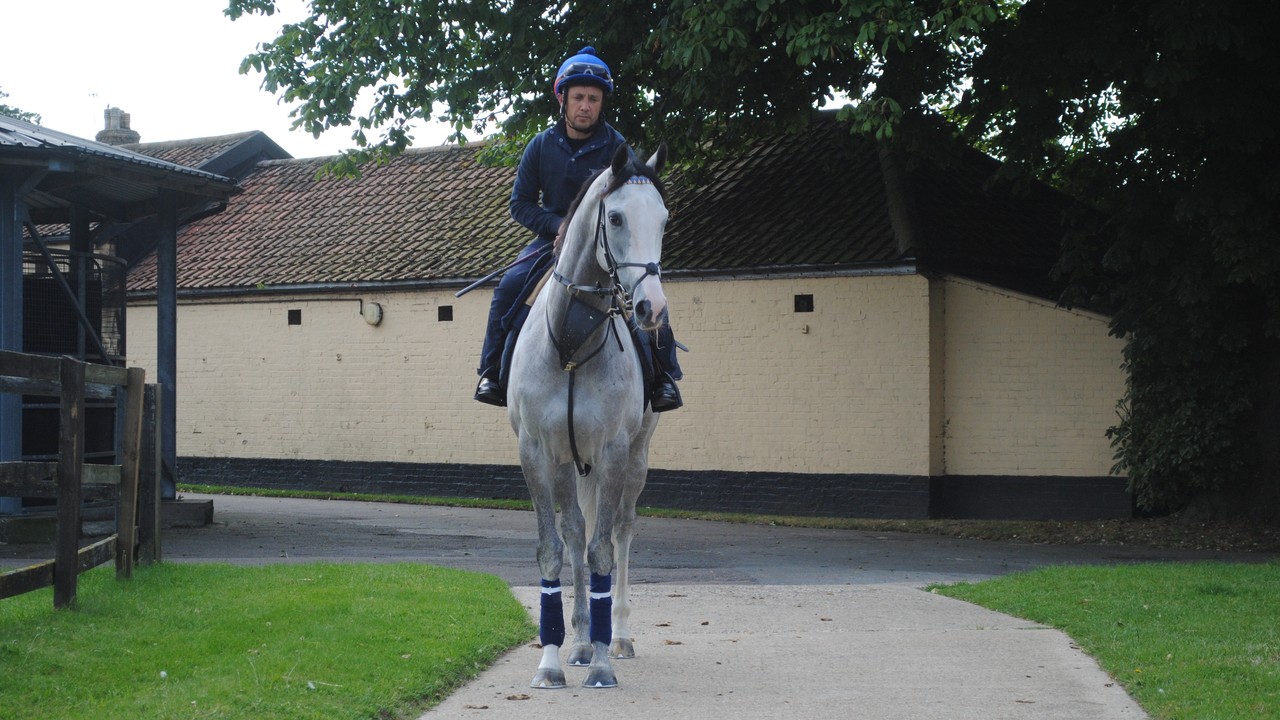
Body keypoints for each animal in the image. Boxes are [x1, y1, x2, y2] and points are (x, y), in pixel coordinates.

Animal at [506, 142, 675, 686]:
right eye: (616, 217)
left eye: (664, 220)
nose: (651, 309)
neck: (572, 346)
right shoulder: (539, 454)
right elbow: (556, 548)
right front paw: (552, 661)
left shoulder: (613, 452)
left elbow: (602, 549)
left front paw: (601, 663)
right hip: (570, 465)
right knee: (577, 530)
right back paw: (579, 640)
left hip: (635, 458)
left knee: (620, 529)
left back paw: (616, 636)